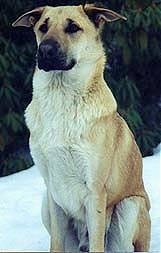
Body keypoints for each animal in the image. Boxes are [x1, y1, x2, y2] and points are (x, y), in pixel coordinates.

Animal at [12, 4, 151, 253]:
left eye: (73, 28)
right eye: (43, 27)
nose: (44, 51)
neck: (61, 98)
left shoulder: (95, 191)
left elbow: (97, 243)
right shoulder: (53, 190)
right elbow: (56, 244)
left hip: (130, 206)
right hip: (45, 202)